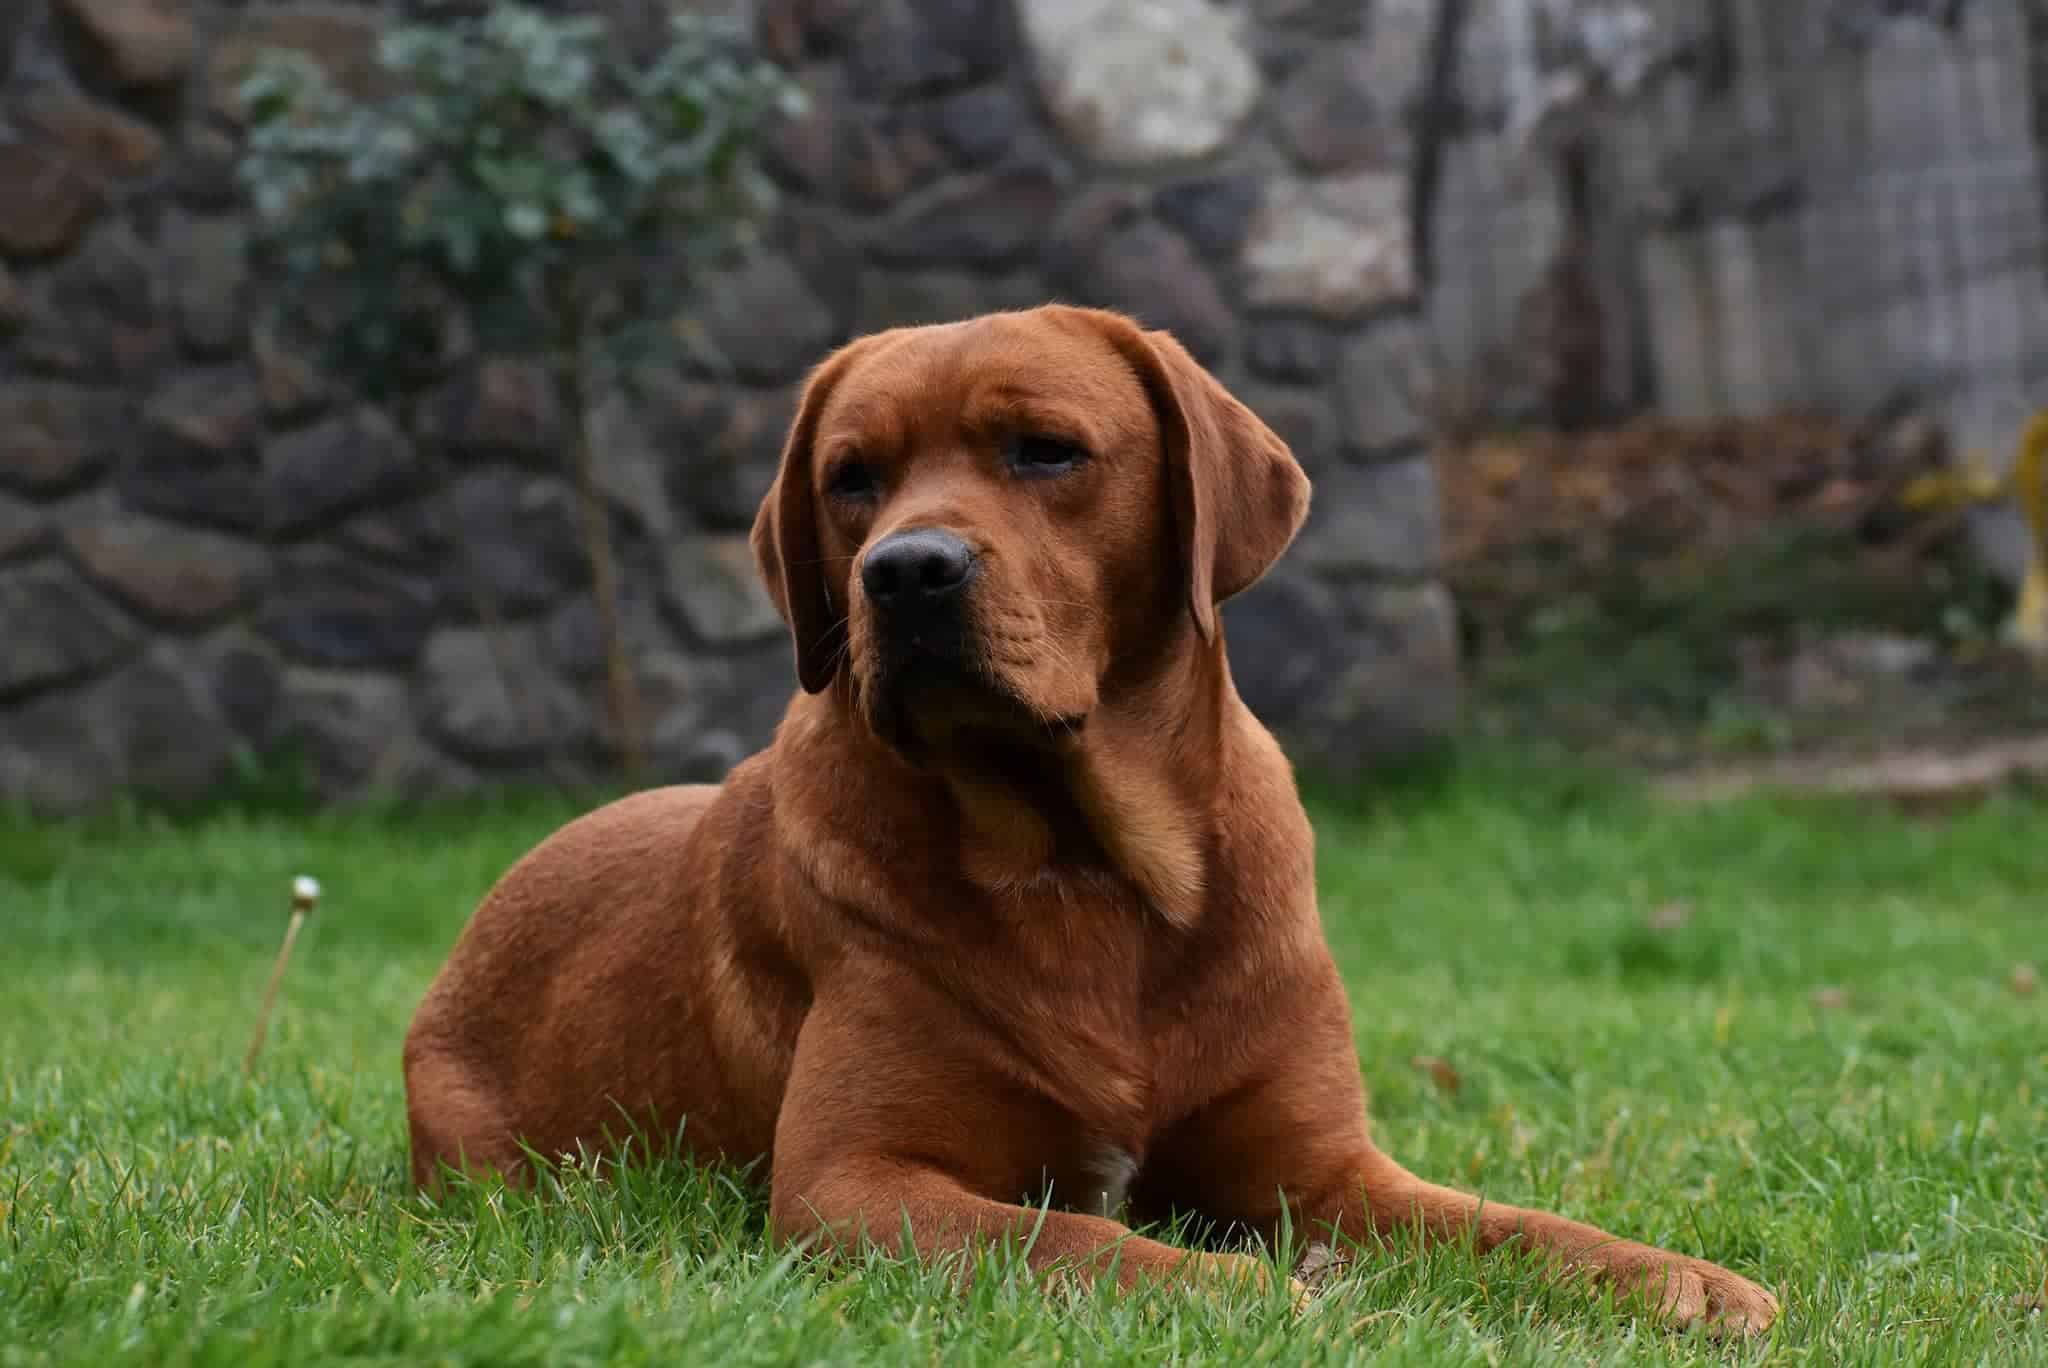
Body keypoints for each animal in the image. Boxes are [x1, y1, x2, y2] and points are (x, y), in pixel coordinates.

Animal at [403, 301, 1777, 1335]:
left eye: (1045, 451)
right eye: (851, 479)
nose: (903, 571)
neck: (1090, 869)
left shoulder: (1325, 1170)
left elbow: (1516, 1226)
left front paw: (1674, 1279)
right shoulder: (850, 1184)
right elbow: (1082, 1242)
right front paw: (1270, 1299)